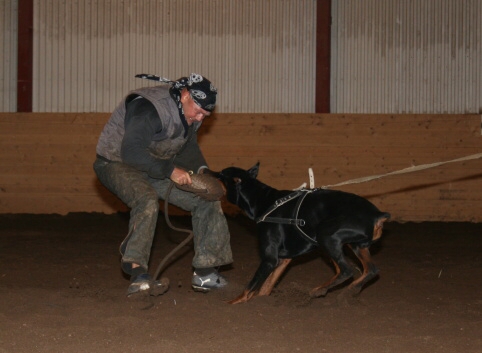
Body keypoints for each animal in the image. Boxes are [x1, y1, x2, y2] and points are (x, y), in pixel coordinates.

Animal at [217, 162, 390, 302]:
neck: (263, 201)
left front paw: (232, 304)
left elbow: (250, 287)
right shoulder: (284, 259)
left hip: (326, 235)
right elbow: (266, 286)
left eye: (220, 175)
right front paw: (262, 301)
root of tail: (377, 215)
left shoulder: (269, 259)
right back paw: (350, 290)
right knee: (370, 270)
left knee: (346, 270)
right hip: (355, 245)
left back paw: (319, 290)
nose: (210, 171)